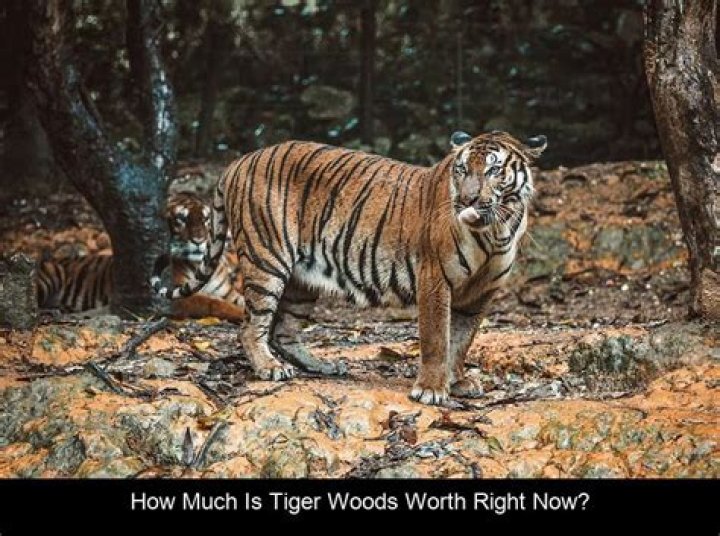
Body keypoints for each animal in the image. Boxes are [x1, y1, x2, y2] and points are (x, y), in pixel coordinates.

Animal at [37, 192, 246, 322]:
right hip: (49, 277)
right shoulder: (176, 296)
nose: (199, 240)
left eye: (205, 218)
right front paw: (240, 313)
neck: (199, 265)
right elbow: (212, 303)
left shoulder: (228, 292)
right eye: (181, 219)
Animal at [151, 130, 547, 405]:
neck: (496, 229)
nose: (466, 200)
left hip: (302, 281)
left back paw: (322, 366)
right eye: (462, 169)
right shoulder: (435, 280)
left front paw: (458, 381)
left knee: (284, 331)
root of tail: (240, 161)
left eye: (493, 170)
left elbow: (461, 340)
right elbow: (437, 338)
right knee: (251, 327)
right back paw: (269, 368)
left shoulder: (480, 294)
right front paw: (432, 390)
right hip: (267, 261)